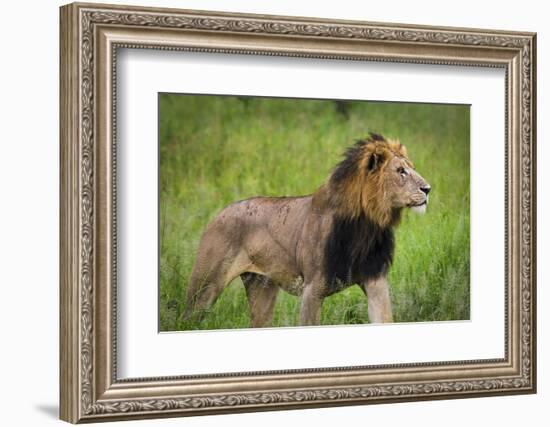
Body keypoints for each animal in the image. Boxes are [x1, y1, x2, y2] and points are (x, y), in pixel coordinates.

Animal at [183, 134, 434, 328]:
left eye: (411, 168)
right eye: (401, 171)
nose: (428, 189)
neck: (367, 226)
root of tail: (218, 214)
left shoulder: (375, 281)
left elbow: (384, 319)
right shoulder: (312, 289)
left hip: (262, 287)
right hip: (205, 287)